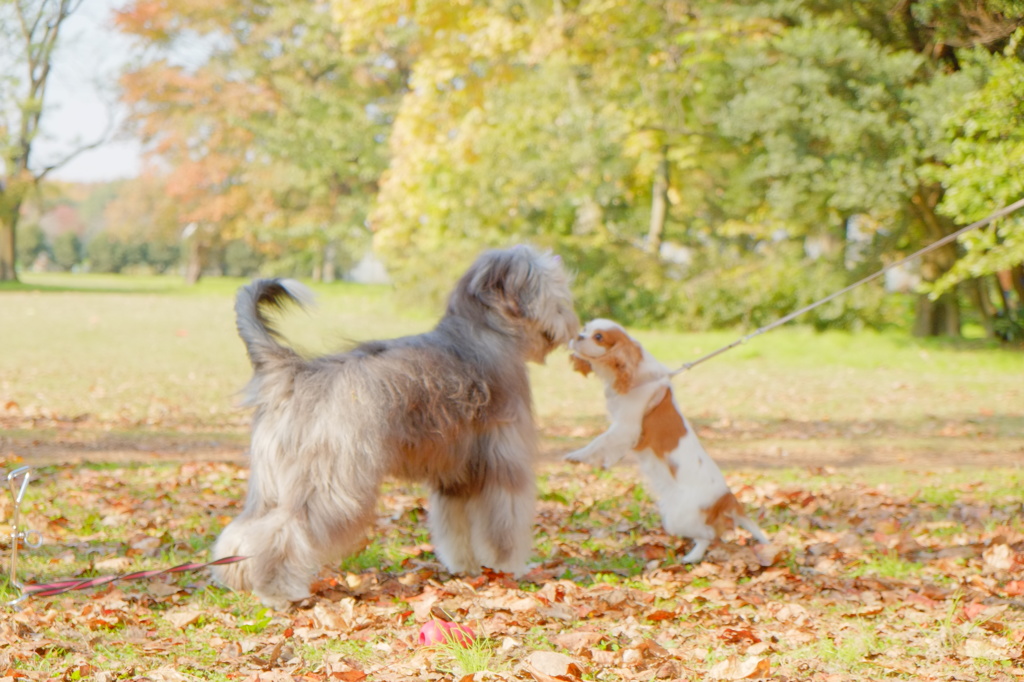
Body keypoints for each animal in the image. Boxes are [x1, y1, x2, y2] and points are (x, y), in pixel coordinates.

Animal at [565, 315, 765, 561]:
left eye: (599, 337)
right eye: (585, 329)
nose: (577, 336)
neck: (633, 374)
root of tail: (726, 497)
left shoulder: (625, 427)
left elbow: (599, 441)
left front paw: (577, 457)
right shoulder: (623, 431)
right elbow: (612, 448)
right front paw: (605, 462)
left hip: (678, 518)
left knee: (710, 534)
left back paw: (691, 557)